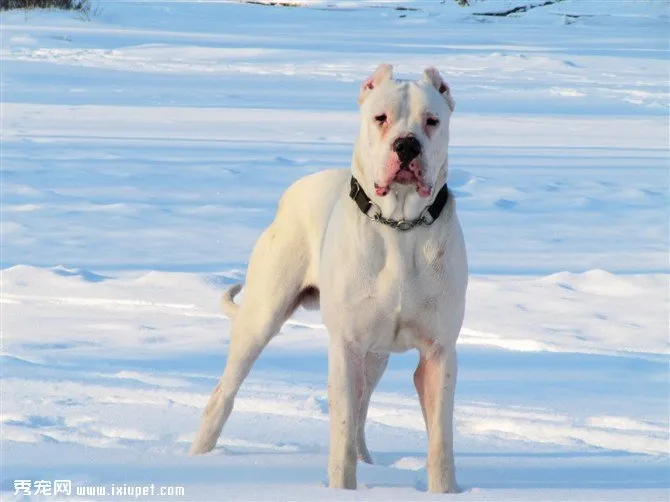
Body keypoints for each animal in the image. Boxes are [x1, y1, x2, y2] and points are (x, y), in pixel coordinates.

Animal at [192, 63, 470, 494]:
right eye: (380, 118)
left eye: (432, 121)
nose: (407, 146)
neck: (400, 226)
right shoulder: (345, 347)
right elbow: (340, 433)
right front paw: (343, 489)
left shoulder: (438, 352)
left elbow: (440, 441)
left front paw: (444, 492)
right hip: (261, 319)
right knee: (224, 393)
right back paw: (198, 458)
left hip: (374, 357)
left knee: (361, 411)